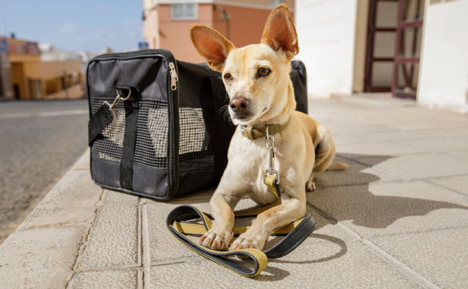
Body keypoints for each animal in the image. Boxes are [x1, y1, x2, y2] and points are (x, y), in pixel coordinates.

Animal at [190, 3, 348, 250]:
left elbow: (267, 214)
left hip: (326, 141)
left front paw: (250, 237)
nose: (236, 104)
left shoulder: (295, 201)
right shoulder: (221, 194)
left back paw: (310, 181)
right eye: (227, 76)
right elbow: (226, 213)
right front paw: (217, 232)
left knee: (314, 169)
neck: (263, 137)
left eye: (263, 71)